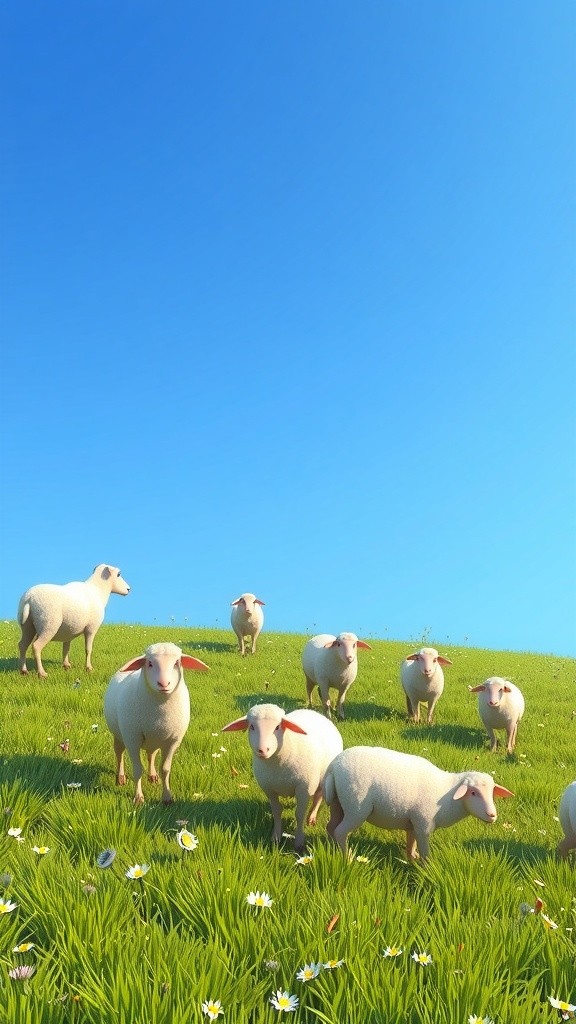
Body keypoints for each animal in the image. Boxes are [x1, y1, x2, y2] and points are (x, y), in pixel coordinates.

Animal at [103, 642, 209, 805]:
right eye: (150, 663)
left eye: (177, 663)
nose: (164, 683)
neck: (160, 704)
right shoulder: (132, 739)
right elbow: (137, 770)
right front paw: (138, 798)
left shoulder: (172, 741)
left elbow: (165, 769)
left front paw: (167, 798)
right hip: (120, 734)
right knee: (119, 752)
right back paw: (120, 778)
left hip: (153, 739)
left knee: (151, 754)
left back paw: (152, 775)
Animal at [222, 703, 343, 852]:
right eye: (252, 726)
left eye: (277, 727)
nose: (263, 750)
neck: (277, 764)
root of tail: (313, 712)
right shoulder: (269, 790)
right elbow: (277, 811)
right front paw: (276, 837)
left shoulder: (304, 788)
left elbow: (299, 814)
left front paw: (299, 842)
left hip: (322, 778)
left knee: (318, 797)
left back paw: (311, 817)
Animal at [323, 745, 514, 862]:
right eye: (473, 793)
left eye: (492, 792)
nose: (492, 815)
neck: (447, 794)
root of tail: (334, 766)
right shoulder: (424, 824)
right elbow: (425, 851)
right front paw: (427, 868)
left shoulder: (413, 822)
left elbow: (411, 841)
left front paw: (411, 857)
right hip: (356, 807)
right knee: (340, 831)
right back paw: (347, 858)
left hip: (338, 803)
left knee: (331, 826)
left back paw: (332, 849)